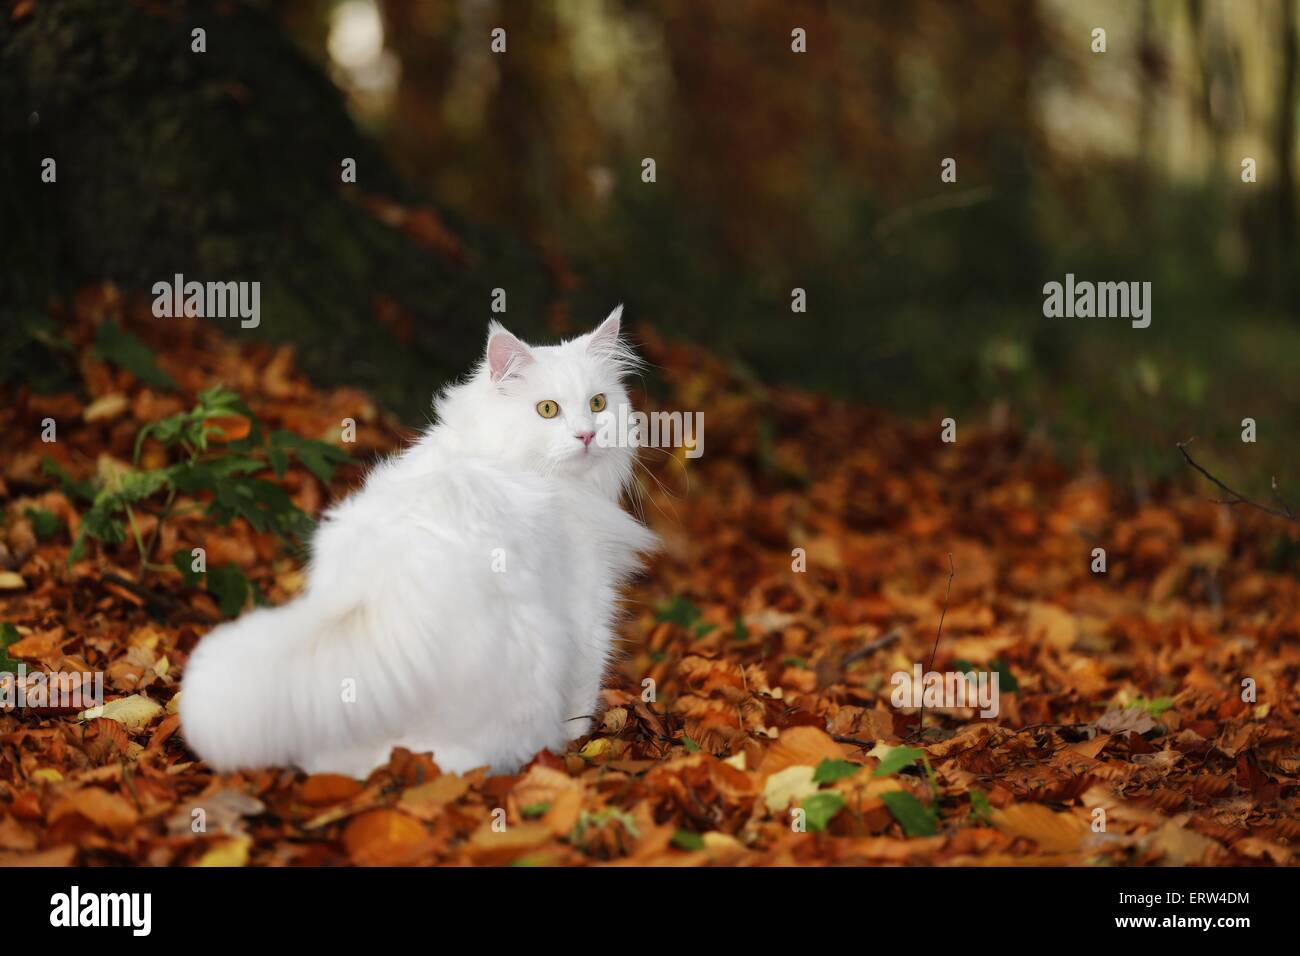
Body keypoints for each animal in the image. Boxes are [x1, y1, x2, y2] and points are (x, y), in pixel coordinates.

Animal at [178, 310, 655, 780]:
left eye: (598, 404)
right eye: (547, 410)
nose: (587, 435)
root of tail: (378, 595)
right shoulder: (587, 604)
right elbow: (583, 696)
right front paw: (578, 747)